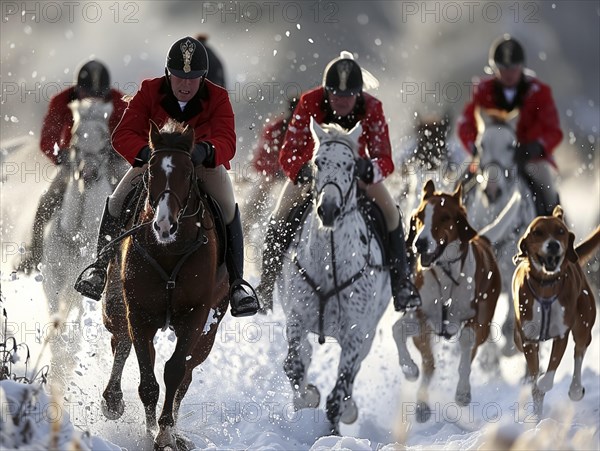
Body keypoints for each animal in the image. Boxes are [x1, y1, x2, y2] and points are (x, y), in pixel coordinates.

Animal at [101, 119, 227, 448]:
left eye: (188, 172)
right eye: (150, 171)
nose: (164, 224)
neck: (169, 250)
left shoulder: (195, 316)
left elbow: (175, 371)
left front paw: (166, 433)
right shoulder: (138, 312)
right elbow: (147, 380)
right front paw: (149, 431)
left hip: (208, 332)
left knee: (186, 375)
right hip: (116, 306)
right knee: (121, 342)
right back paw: (113, 400)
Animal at [280, 118, 392, 436]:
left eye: (352, 165)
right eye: (317, 162)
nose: (328, 209)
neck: (330, 265)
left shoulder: (356, 332)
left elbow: (339, 390)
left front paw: (333, 434)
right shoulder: (296, 317)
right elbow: (294, 365)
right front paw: (306, 399)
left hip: (367, 334)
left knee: (353, 374)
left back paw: (349, 409)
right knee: (304, 355)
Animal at [510, 207, 600, 418]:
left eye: (560, 231)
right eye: (538, 232)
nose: (553, 245)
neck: (545, 285)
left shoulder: (561, 334)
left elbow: (550, 371)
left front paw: (543, 382)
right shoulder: (528, 339)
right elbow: (534, 372)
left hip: (584, 321)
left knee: (580, 350)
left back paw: (575, 389)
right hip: (518, 338)